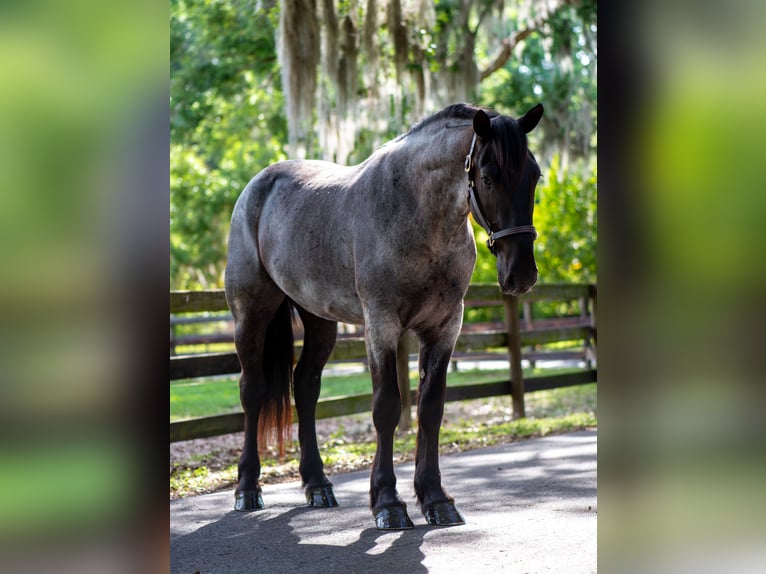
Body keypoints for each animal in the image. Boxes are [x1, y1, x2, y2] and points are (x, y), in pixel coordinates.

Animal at [224, 102, 544, 530]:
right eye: (489, 178)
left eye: (534, 175)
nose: (521, 274)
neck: (417, 215)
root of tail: (256, 187)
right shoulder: (381, 326)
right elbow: (387, 407)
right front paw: (388, 504)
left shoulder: (444, 328)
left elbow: (430, 409)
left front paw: (436, 499)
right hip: (252, 313)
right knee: (253, 390)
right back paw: (247, 488)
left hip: (320, 321)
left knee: (305, 387)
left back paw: (318, 485)